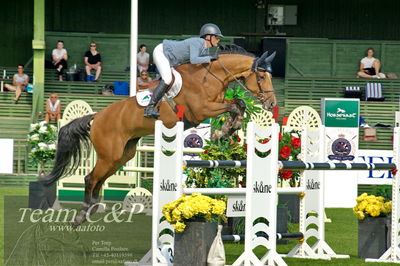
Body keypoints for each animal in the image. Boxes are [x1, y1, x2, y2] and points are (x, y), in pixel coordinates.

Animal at [43, 45, 276, 224]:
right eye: (261, 76)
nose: (271, 104)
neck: (211, 76)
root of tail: (97, 115)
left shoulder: (214, 105)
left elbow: (239, 103)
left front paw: (228, 128)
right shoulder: (202, 110)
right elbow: (235, 105)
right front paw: (226, 128)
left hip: (121, 156)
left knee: (99, 179)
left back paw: (92, 208)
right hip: (109, 154)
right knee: (90, 178)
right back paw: (81, 215)